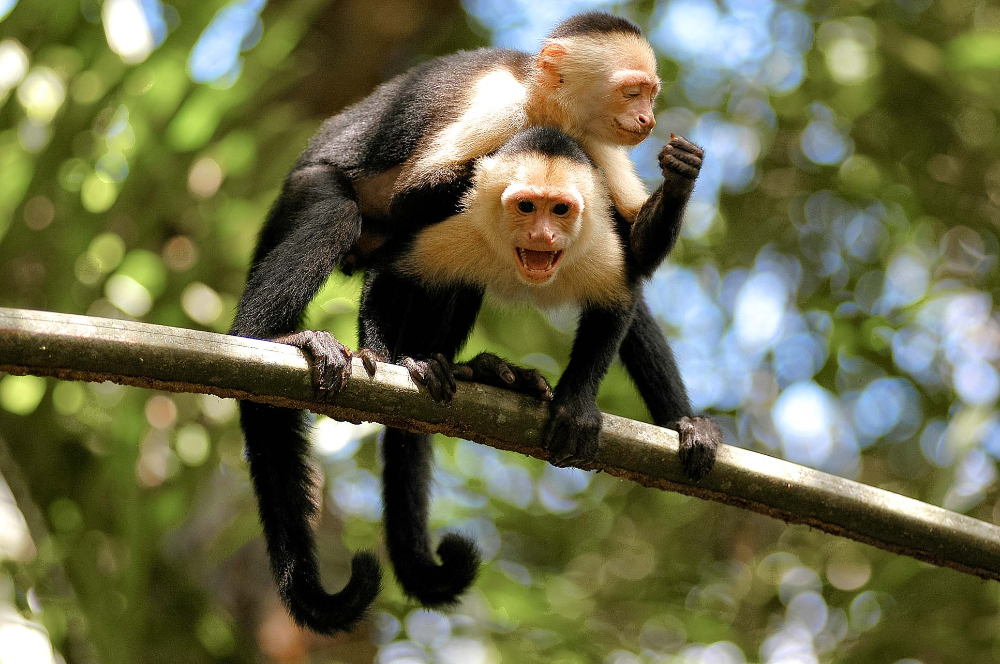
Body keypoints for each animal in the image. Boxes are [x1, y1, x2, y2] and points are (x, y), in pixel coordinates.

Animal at [229, 12, 720, 634]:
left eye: (649, 94)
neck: (543, 106)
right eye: (633, 91)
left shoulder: (595, 154)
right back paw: (274, 336)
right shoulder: (499, 110)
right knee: (339, 212)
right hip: (304, 191)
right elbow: (416, 197)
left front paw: (680, 178)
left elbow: (629, 249)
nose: (647, 119)